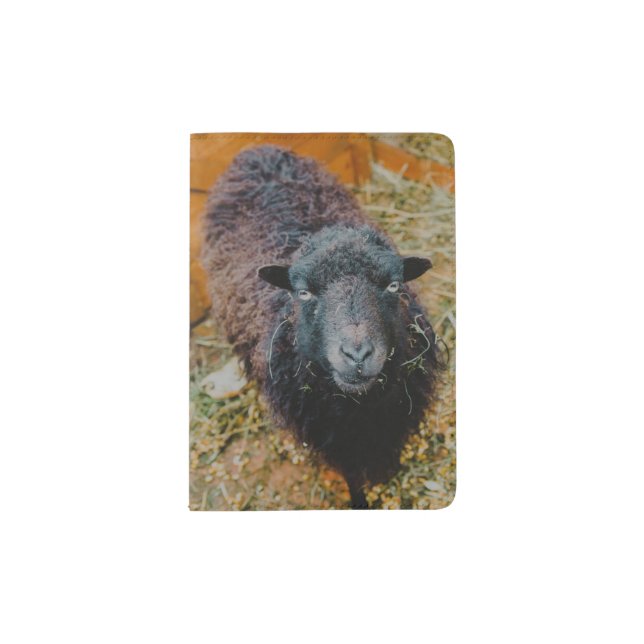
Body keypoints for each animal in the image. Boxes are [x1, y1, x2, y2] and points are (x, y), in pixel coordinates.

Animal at [201, 145, 443, 508]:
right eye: (303, 292)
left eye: (393, 285)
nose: (357, 355)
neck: (359, 406)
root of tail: (257, 150)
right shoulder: (332, 436)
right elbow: (352, 476)